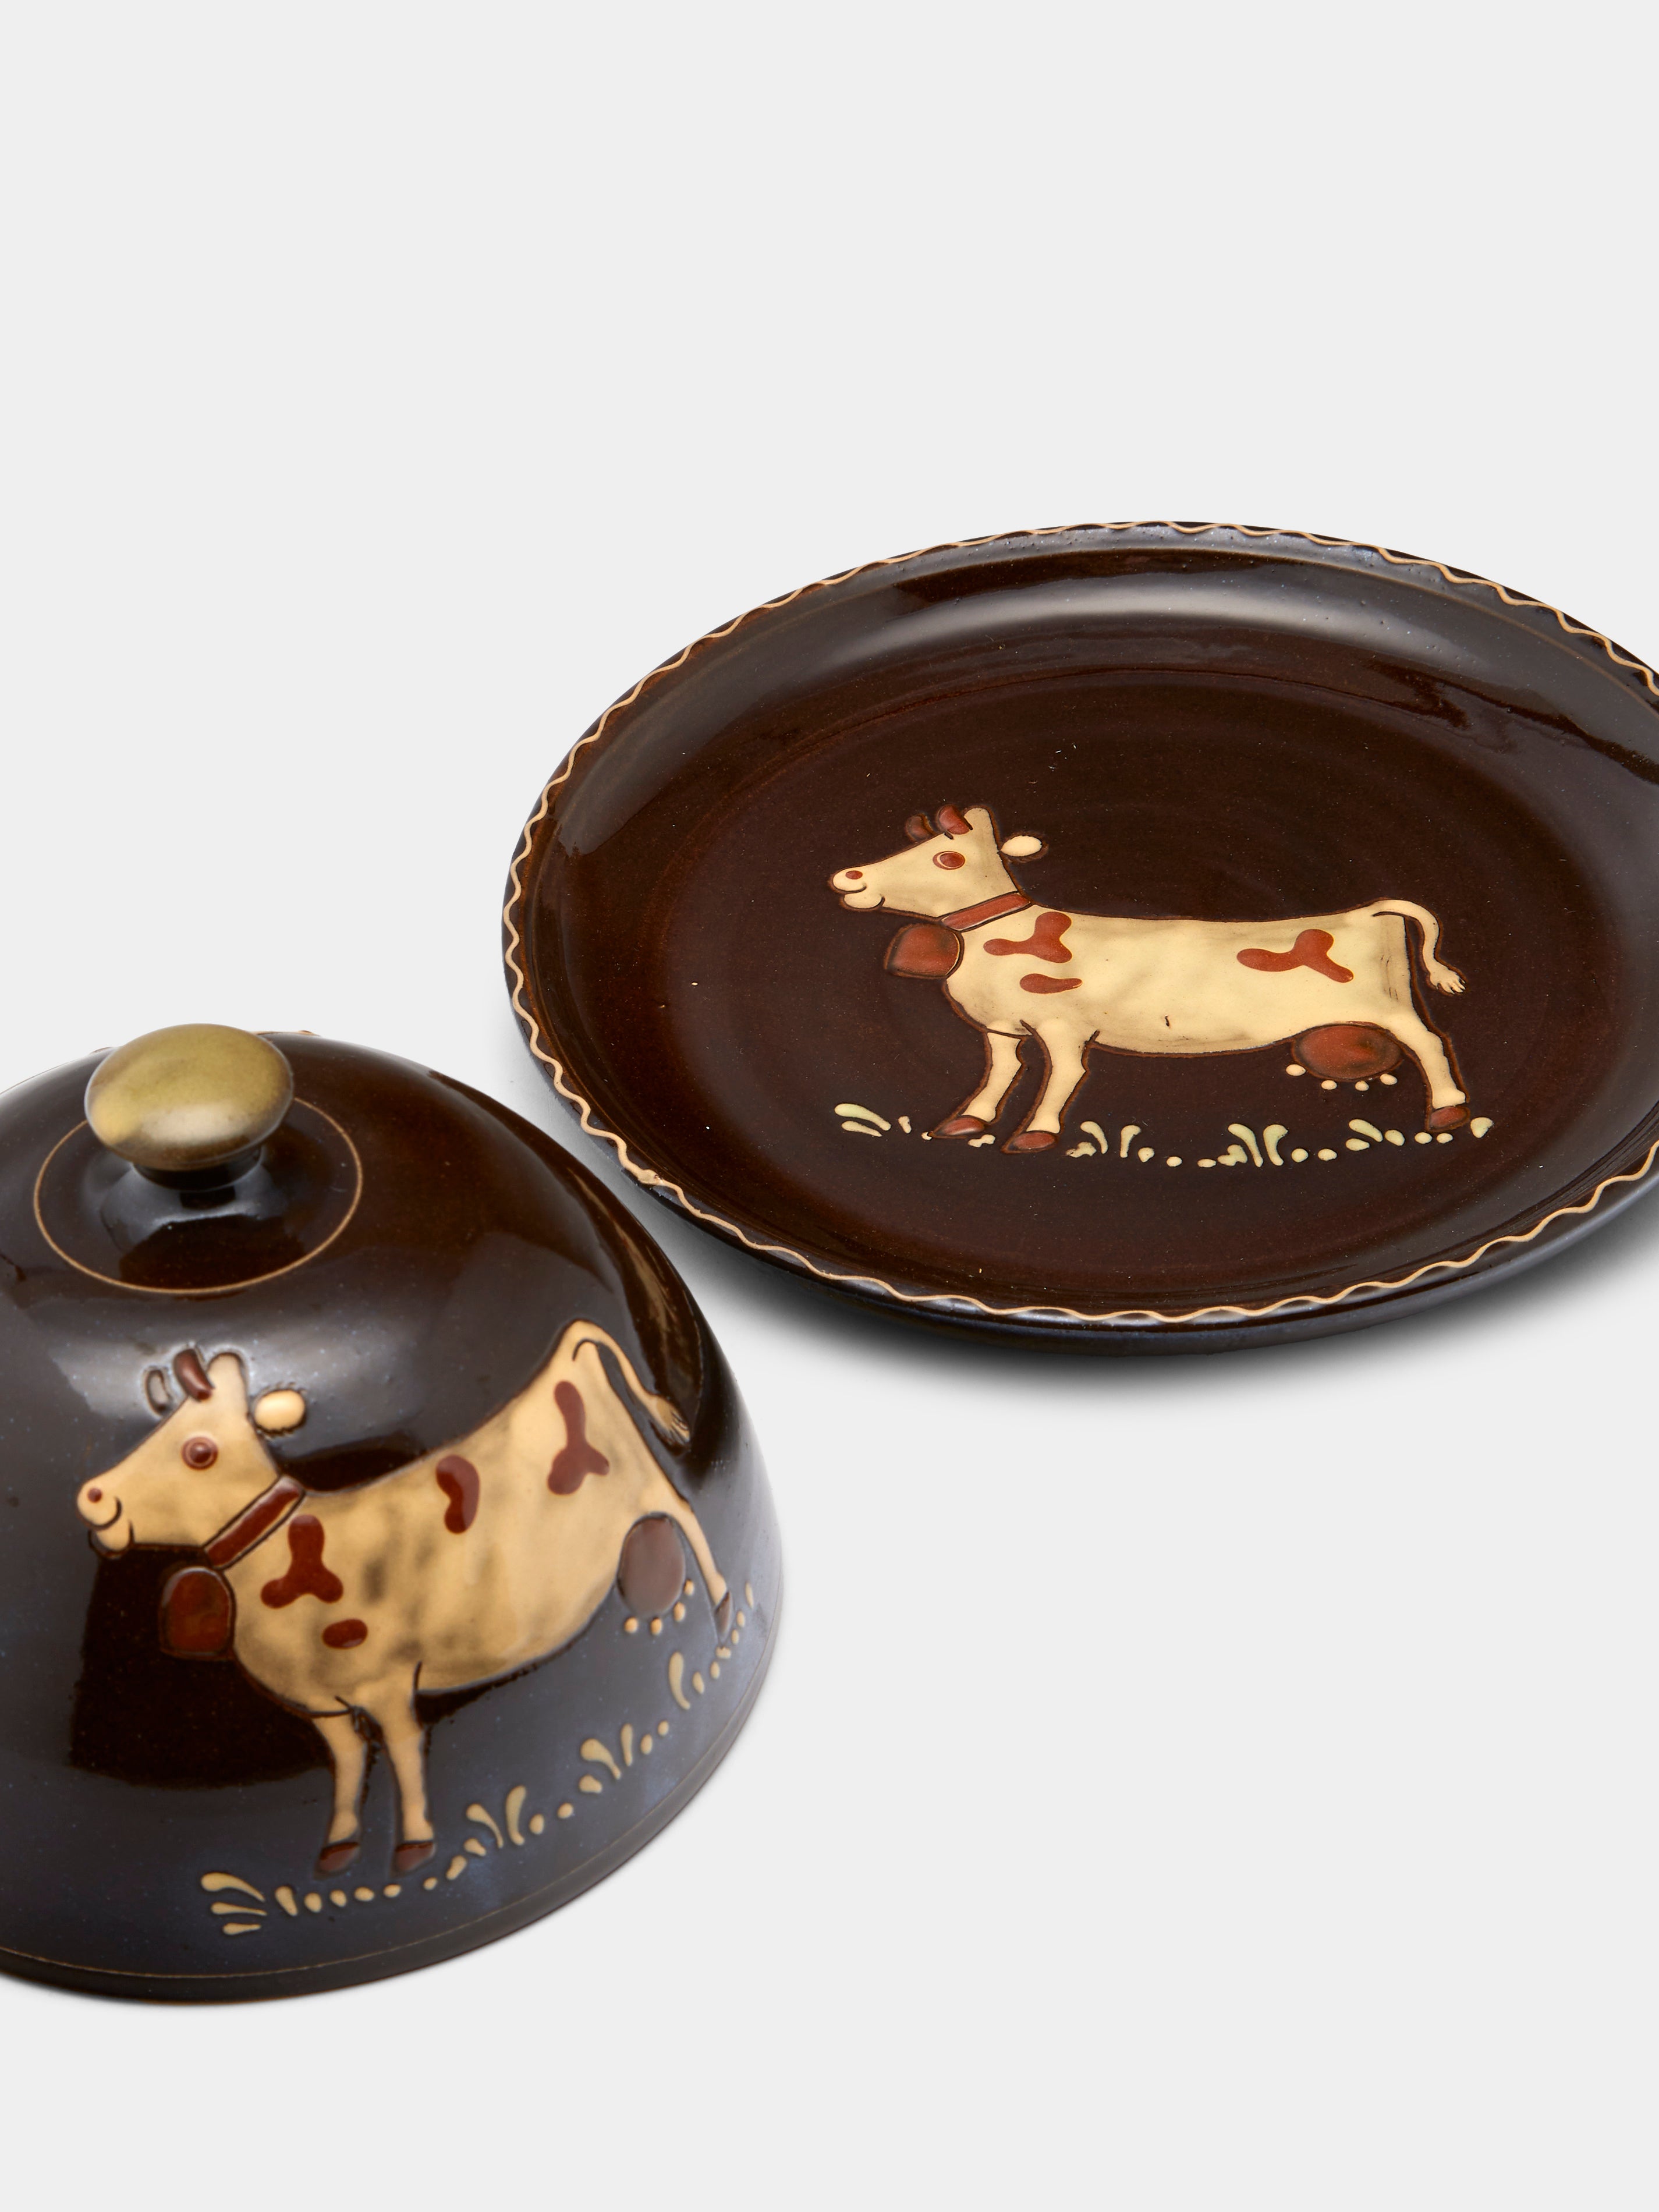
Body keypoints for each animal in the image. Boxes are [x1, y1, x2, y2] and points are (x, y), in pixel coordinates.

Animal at [75, 1324, 729, 1875]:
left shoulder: (388, 1680)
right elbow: (348, 1765)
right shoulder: (324, 1706)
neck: (278, 1552)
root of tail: (568, 1351)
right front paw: (339, 1847)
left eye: (198, 1451)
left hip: (637, 1478)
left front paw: (414, 1845)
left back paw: (721, 1610)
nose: (93, 1495)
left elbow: (405, 1748)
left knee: (682, 1507)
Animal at [829, 804, 1470, 1152]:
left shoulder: (1064, 1026)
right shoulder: (1001, 1028)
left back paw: (1449, 1111)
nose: (849, 875)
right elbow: (999, 1076)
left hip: (1389, 1006)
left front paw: (1037, 1135)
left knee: (1431, 1043)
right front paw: (966, 1121)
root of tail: (1370, 911)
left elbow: (1063, 1078)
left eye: (947, 858)